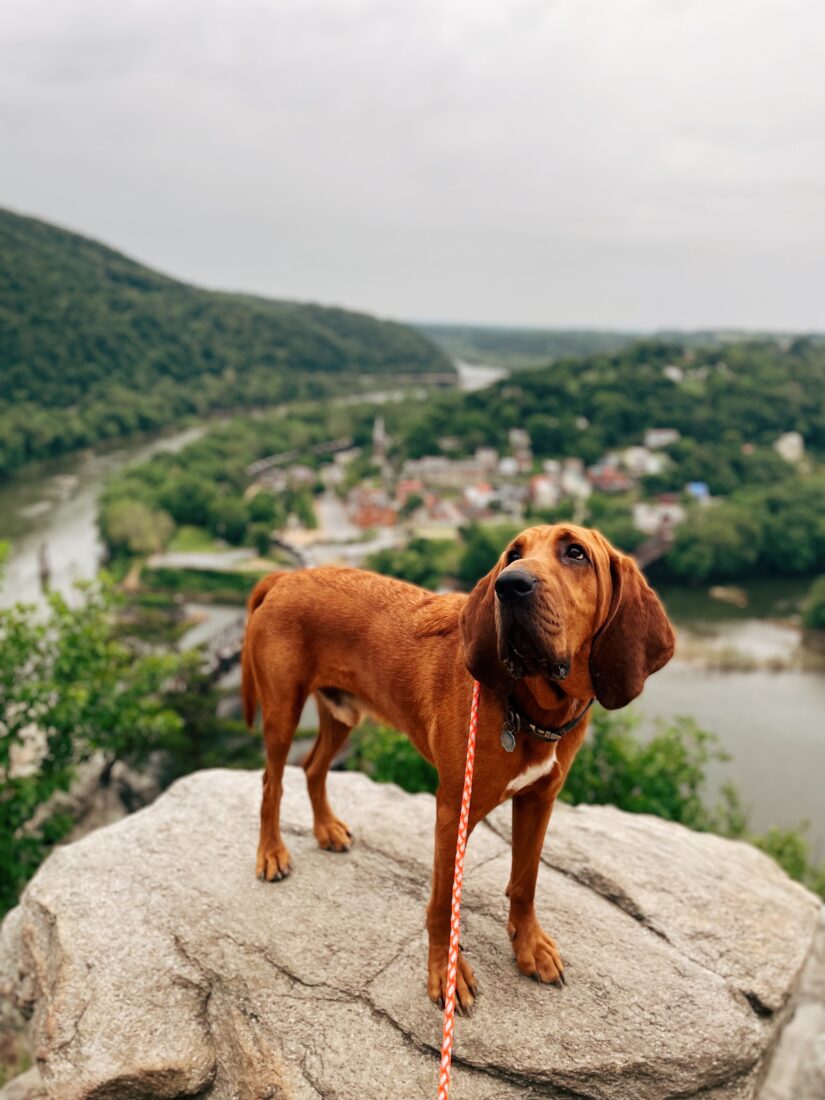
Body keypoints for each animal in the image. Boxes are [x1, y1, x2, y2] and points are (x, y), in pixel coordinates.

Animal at [242, 521, 673, 1007]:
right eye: (512, 554)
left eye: (576, 553)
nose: (511, 585)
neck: (528, 711)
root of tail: (286, 577)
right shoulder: (453, 812)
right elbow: (444, 902)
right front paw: (445, 973)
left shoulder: (539, 802)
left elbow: (525, 882)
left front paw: (529, 946)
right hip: (282, 712)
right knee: (271, 782)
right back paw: (271, 853)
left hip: (342, 713)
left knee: (313, 767)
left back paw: (326, 830)